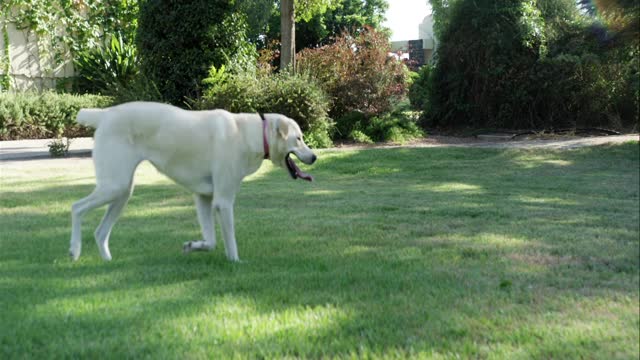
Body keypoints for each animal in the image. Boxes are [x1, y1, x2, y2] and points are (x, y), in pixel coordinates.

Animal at [69, 101, 316, 262]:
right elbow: (229, 242)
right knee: (76, 208)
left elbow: (211, 241)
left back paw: (107, 262)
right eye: (299, 139)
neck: (251, 133)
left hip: (122, 192)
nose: (314, 157)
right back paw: (74, 250)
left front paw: (192, 246)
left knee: (100, 233)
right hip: (114, 187)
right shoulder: (223, 202)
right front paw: (236, 263)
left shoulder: (204, 198)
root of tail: (104, 114)